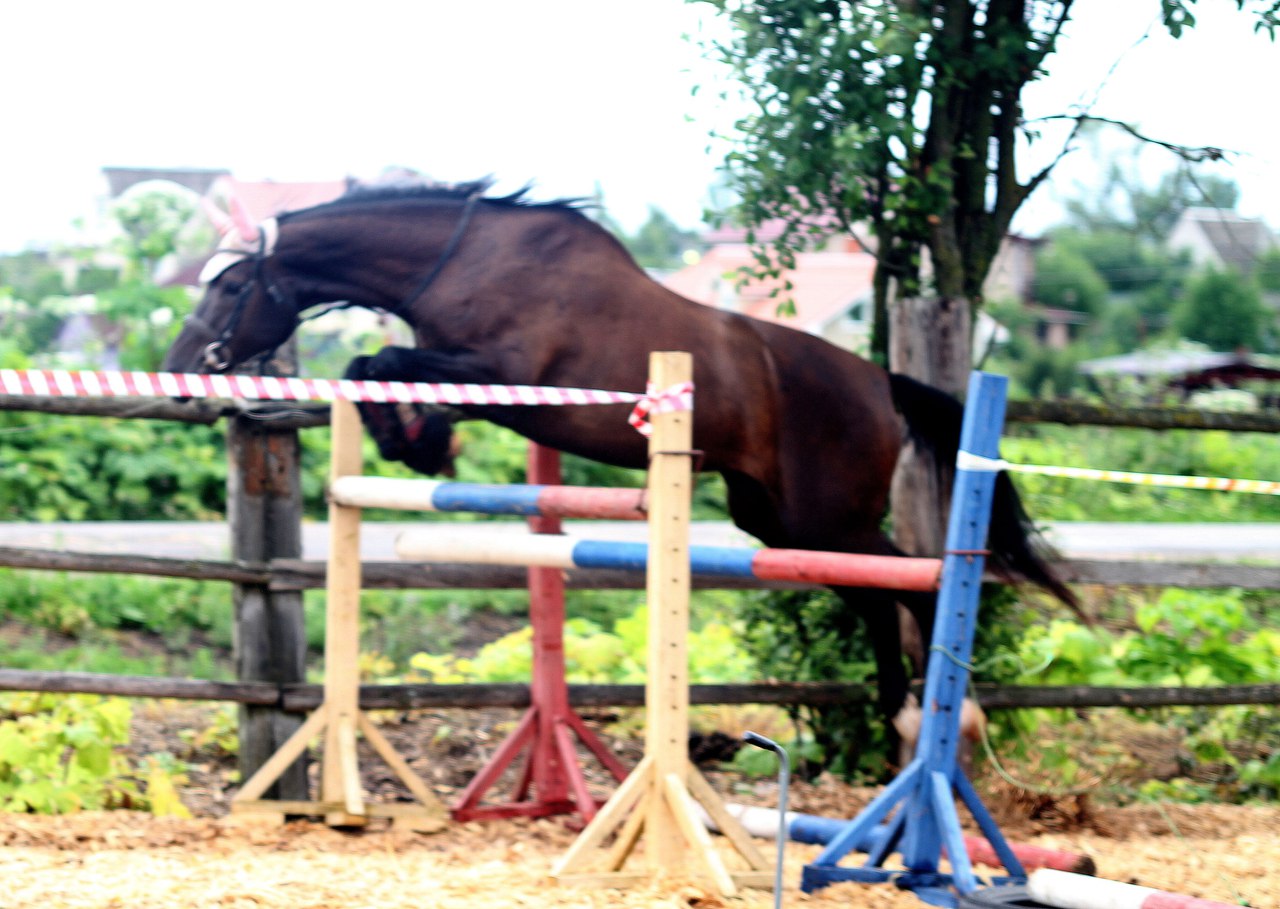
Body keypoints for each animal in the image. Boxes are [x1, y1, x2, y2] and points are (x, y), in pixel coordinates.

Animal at [163, 178, 1076, 755]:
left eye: (233, 285)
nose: (180, 368)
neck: (460, 261)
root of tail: (880, 381)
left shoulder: (503, 374)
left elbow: (378, 359)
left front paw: (416, 443)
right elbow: (373, 366)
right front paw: (414, 443)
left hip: (826, 515)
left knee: (904, 582)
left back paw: (944, 717)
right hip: (772, 518)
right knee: (873, 594)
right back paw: (904, 718)